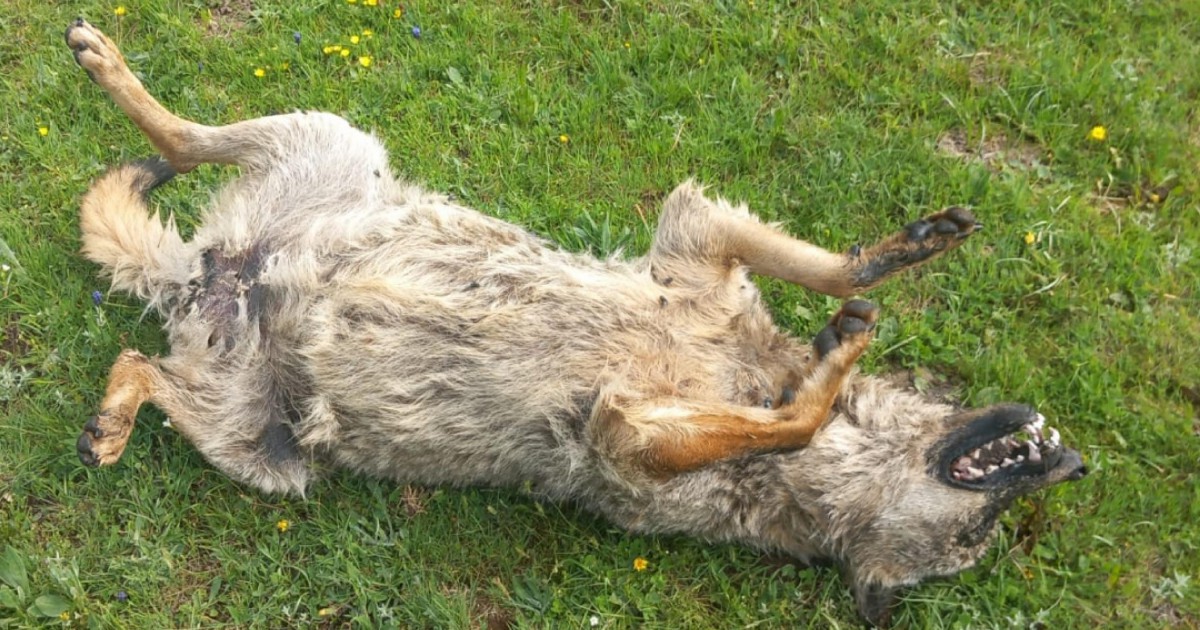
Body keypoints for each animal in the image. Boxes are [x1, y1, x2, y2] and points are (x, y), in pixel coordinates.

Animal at [65, 18, 1089, 624]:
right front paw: (894, 262)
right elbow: (820, 282)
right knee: (179, 136)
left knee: (140, 360)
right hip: (335, 138)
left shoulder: (625, 431)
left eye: (968, 546)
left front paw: (825, 367)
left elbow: (773, 417)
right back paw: (105, 61)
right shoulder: (696, 247)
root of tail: (206, 271)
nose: (1074, 461)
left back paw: (112, 417)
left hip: (260, 449)